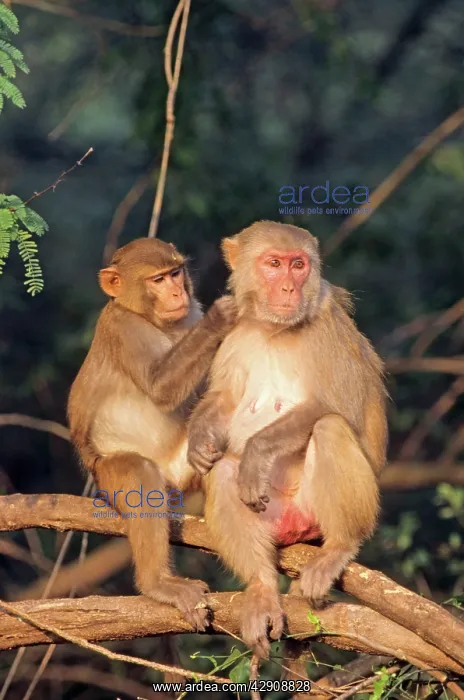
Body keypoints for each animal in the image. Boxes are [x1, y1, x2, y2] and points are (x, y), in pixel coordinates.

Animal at [68, 237, 237, 630]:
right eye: (158, 280)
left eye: (175, 273)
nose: (177, 292)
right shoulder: (122, 327)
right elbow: (160, 388)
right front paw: (222, 316)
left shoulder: (190, 314)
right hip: (108, 477)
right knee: (138, 473)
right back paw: (157, 584)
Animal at [187, 220, 388, 658]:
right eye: (274, 264)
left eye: (298, 265)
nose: (288, 289)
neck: (274, 330)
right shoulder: (235, 332)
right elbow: (225, 401)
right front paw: (198, 438)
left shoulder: (327, 331)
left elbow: (334, 406)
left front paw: (256, 454)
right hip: (276, 516)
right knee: (222, 473)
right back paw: (262, 588)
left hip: (313, 511)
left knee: (329, 428)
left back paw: (338, 547)